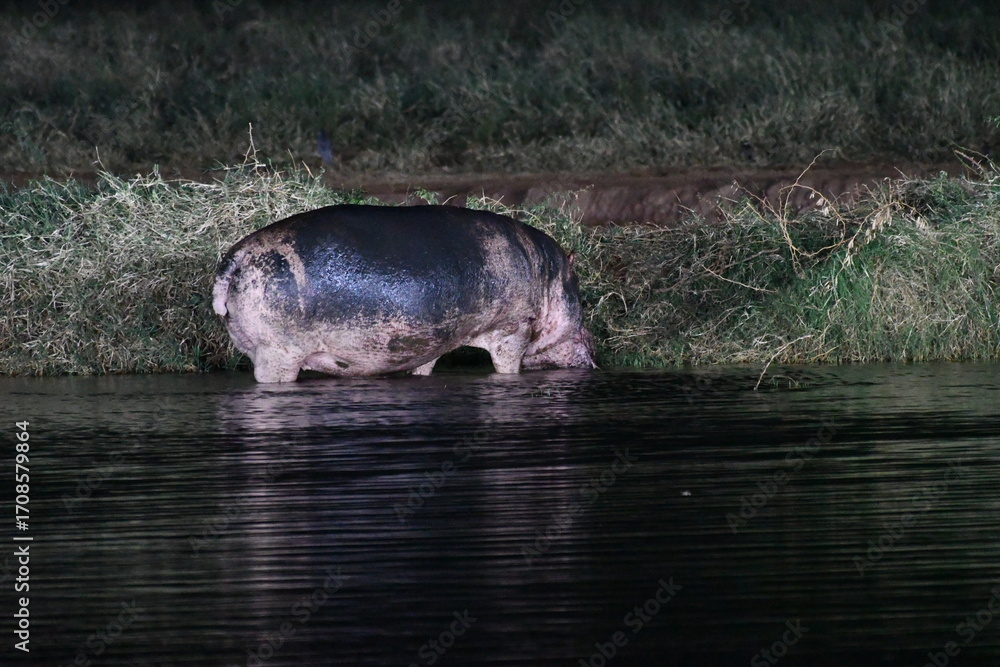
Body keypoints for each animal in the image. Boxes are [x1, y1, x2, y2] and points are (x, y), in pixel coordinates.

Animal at [212, 204, 596, 382]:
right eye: (582, 300)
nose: (593, 355)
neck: (549, 276)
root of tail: (235, 257)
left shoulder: (428, 341)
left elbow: (424, 367)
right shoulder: (513, 326)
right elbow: (508, 366)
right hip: (279, 353)